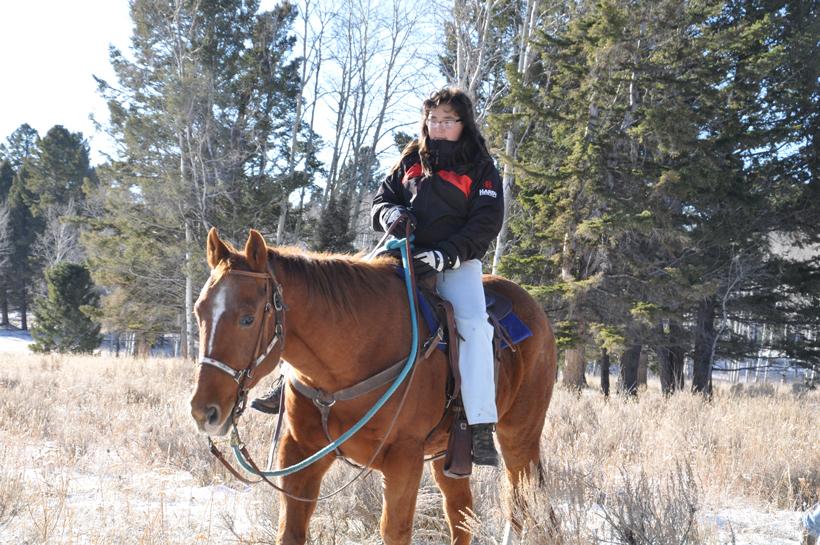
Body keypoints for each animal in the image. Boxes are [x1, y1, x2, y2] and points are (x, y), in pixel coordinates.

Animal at [190, 228, 557, 545]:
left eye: (247, 318)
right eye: (198, 312)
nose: (203, 411)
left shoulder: (404, 459)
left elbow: (395, 531)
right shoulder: (300, 452)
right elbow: (290, 530)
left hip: (519, 440)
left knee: (525, 503)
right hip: (450, 455)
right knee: (461, 515)